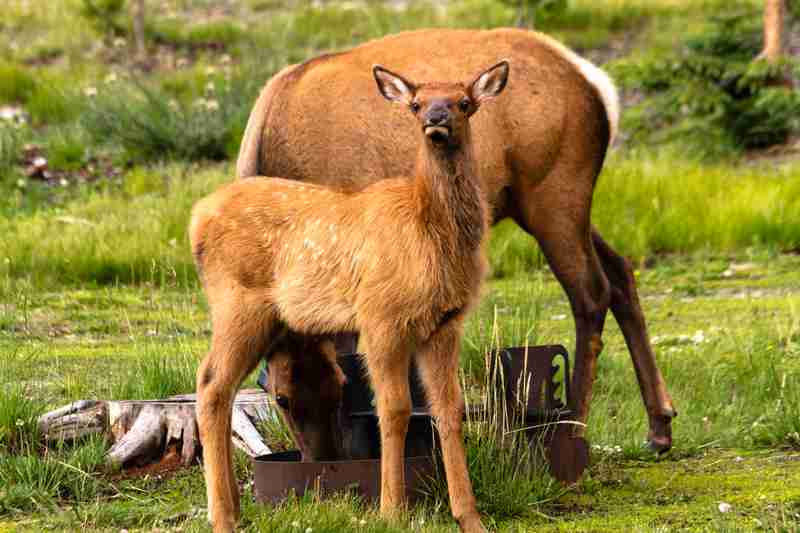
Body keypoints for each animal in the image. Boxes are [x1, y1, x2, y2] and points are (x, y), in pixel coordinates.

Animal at [191, 60, 512, 533]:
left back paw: (233, 506)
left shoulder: (444, 324)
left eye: (463, 102)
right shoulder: (380, 316)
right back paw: (223, 516)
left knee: (222, 387)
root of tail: (196, 219)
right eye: (416, 104)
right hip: (238, 303)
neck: (431, 234)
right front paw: (392, 510)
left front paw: (470, 516)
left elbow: (449, 410)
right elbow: (394, 410)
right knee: (211, 383)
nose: (436, 119)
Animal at [236, 28, 677, 457]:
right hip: (536, 205)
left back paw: (577, 427)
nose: (324, 460)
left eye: (341, 390)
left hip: (555, 191)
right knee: (621, 271)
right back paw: (659, 427)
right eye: (282, 398)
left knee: (591, 291)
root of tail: (597, 84)